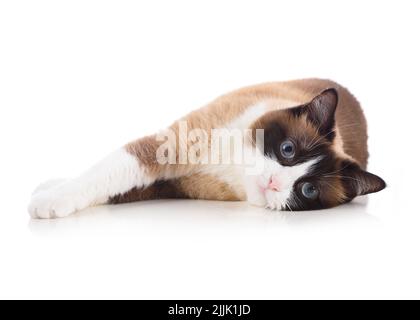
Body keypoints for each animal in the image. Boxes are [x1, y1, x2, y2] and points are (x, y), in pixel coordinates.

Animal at [27, 78, 386, 218]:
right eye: (288, 149)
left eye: (308, 190)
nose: (274, 183)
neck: (235, 166)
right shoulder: (166, 148)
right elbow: (104, 174)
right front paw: (51, 195)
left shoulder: (175, 185)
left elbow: (115, 186)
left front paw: (50, 202)